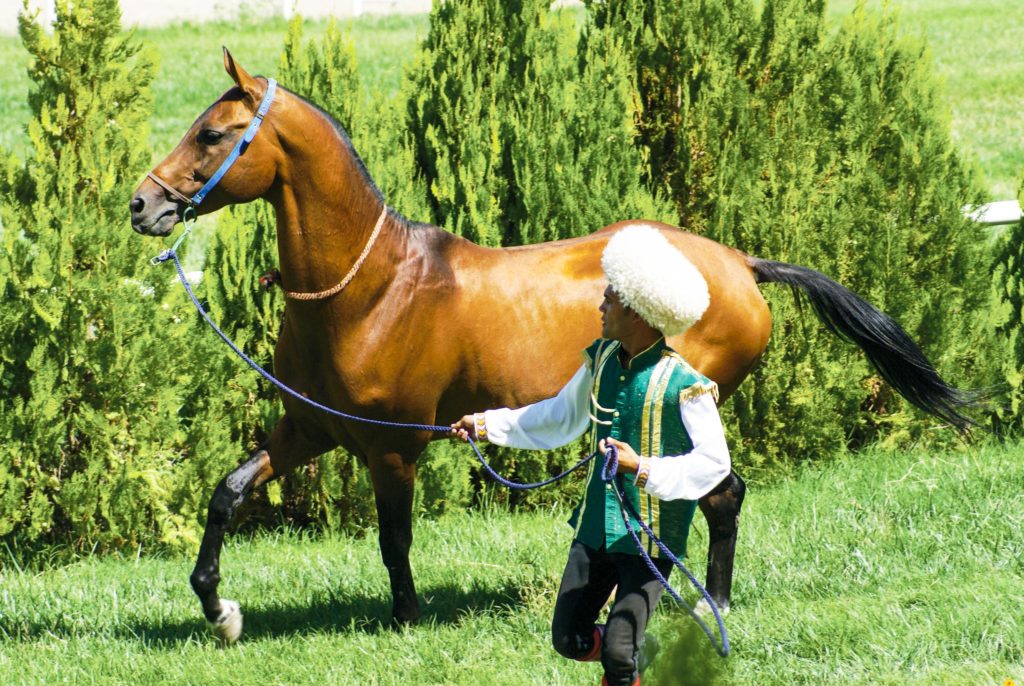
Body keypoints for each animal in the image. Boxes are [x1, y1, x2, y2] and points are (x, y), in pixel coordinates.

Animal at [130, 52, 974, 647]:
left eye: (211, 133)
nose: (142, 205)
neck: (372, 289)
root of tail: (741, 263)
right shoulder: (311, 429)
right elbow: (227, 494)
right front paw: (219, 610)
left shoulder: (393, 447)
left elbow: (394, 539)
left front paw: (405, 620)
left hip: (686, 406)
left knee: (715, 494)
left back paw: (710, 601)